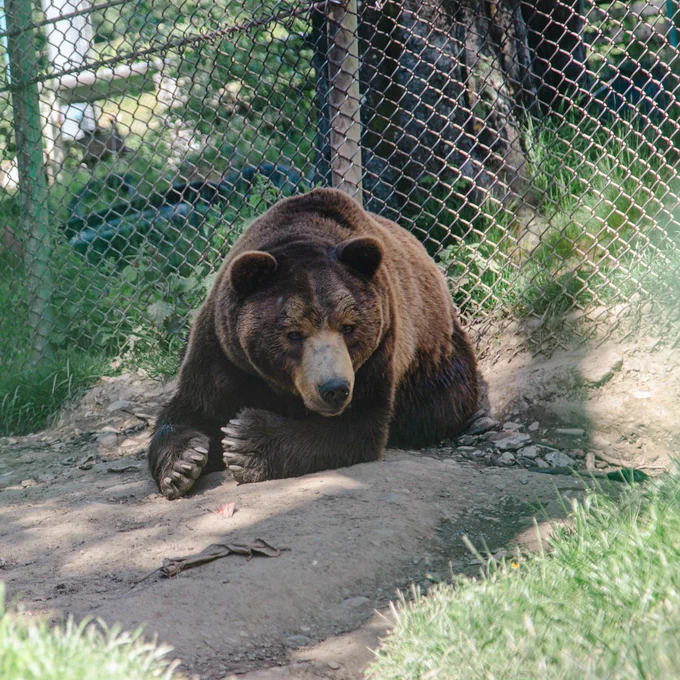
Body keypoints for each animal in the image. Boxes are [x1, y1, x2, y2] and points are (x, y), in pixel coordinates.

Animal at [148, 188, 478, 499]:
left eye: (348, 327)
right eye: (294, 333)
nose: (334, 389)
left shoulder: (379, 352)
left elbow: (357, 425)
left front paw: (244, 441)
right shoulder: (224, 351)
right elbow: (193, 406)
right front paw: (183, 463)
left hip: (434, 357)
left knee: (440, 403)